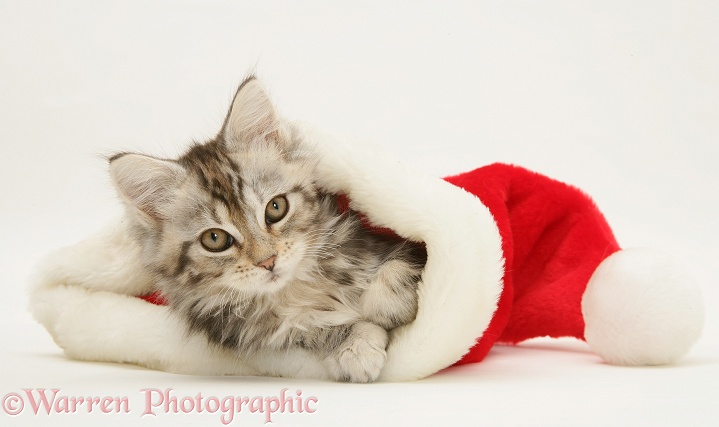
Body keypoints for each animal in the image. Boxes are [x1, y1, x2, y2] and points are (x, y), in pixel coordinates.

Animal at [110, 77, 428, 384]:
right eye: (215, 238)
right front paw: (354, 348)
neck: (298, 287)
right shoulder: (261, 333)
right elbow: (314, 330)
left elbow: (400, 266)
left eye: (275, 207)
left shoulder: (391, 244)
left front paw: (388, 306)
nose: (268, 261)